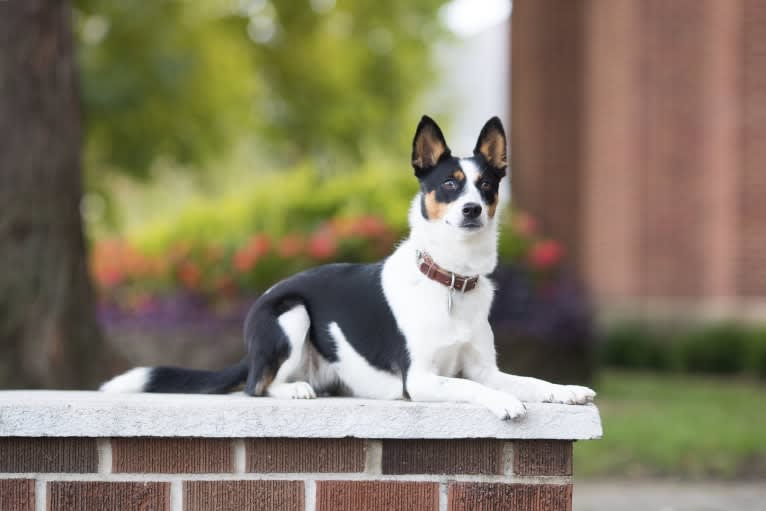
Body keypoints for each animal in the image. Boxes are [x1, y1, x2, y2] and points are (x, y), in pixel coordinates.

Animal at [100, 116, 592, 420]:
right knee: (256, 387)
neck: (450, 278)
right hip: (291, 313)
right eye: (450, 185)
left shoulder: (483, 367)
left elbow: (528, 379)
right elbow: (475, 389)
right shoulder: (421, 379)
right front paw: (503, 402)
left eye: (486, 185)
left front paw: (563, 390)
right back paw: (295, 389)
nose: (472, 210)